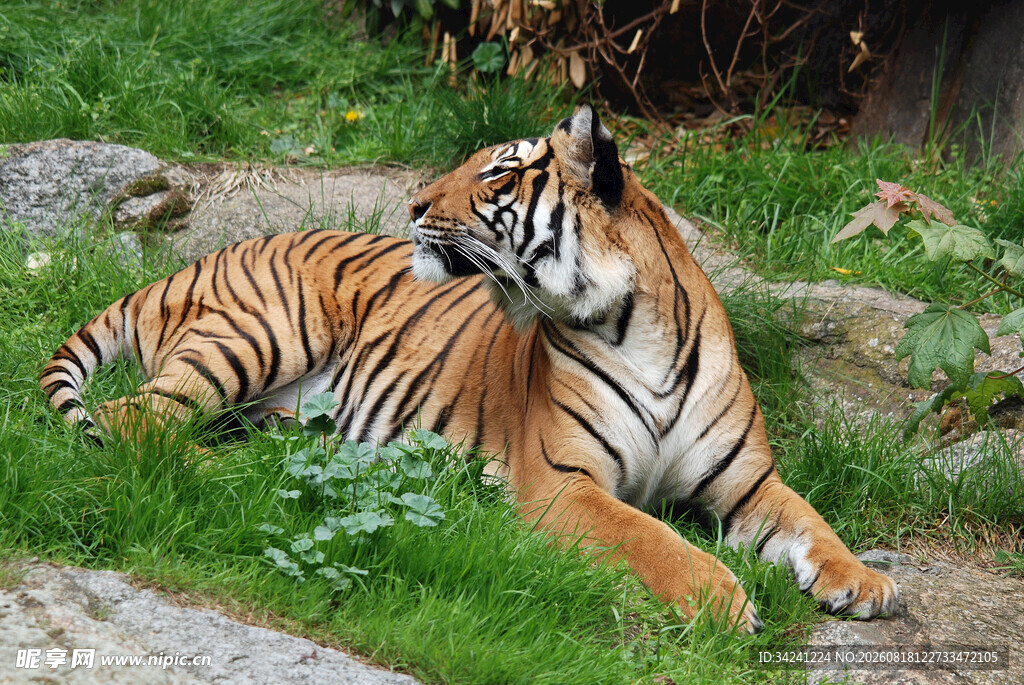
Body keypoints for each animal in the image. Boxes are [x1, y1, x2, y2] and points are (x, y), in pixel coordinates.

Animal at [42, 104, 898, 632]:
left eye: (498, 173)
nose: (414, 204)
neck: (636, 326)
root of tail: (195, 258)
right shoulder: (563, 480)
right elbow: (652, 534)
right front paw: (720, 600)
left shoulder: (748, 480)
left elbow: (811, 520)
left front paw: (864, 580)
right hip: (264, 332)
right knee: (132, 422)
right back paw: (219, 474)